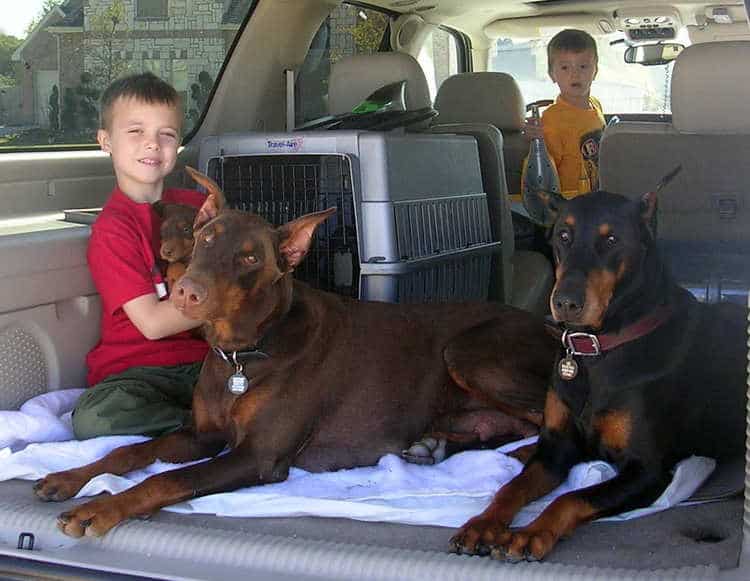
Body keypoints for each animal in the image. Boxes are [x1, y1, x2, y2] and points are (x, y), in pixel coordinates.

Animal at [33, 167, 560, 536]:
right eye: (205, 238)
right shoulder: (202, 435)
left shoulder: (259, 456)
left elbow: (162, 480)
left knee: (553, 421)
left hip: (469, 352)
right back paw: (436, 445)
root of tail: (554, 329)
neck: (242, 355)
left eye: (249, 257)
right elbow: (129, 452)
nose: (186, 292)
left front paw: (102, 507)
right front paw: (71, 477)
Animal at [450, 171, 748, 556]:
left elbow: (571, 498)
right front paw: (483, 524)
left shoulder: (647, 472)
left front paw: (532, 532)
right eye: (563, 235)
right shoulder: (557, 450)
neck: (595, 351)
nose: (566, 302)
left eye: (611, 239)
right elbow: (513, 487)